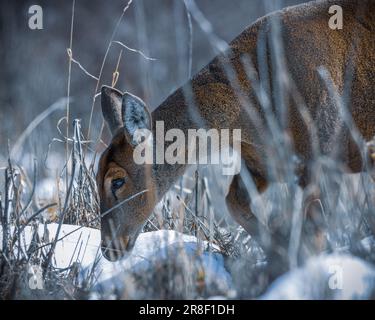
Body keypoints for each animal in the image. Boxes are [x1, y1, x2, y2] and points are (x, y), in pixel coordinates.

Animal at [96, 0, 375, 272]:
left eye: (118, 181)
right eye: (96, 176)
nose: (109, 249)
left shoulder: (324, 153)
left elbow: (314, 231)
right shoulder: (263, 164)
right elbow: (233, 201)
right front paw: (277, 249)